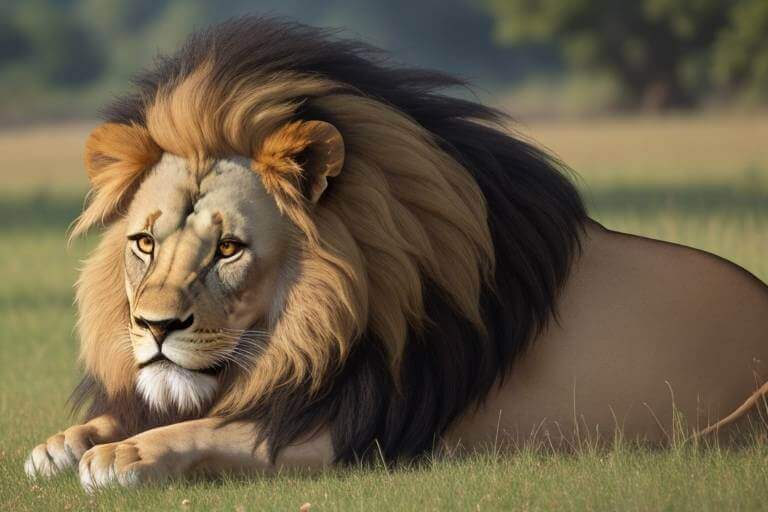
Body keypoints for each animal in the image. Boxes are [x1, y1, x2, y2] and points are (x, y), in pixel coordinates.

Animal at [25, 17, 768, 491]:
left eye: (229, 248)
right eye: (144, 243)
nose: (153, 329)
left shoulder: (355, 430)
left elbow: (213, 430)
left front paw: (124, 455)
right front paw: (61, 444)